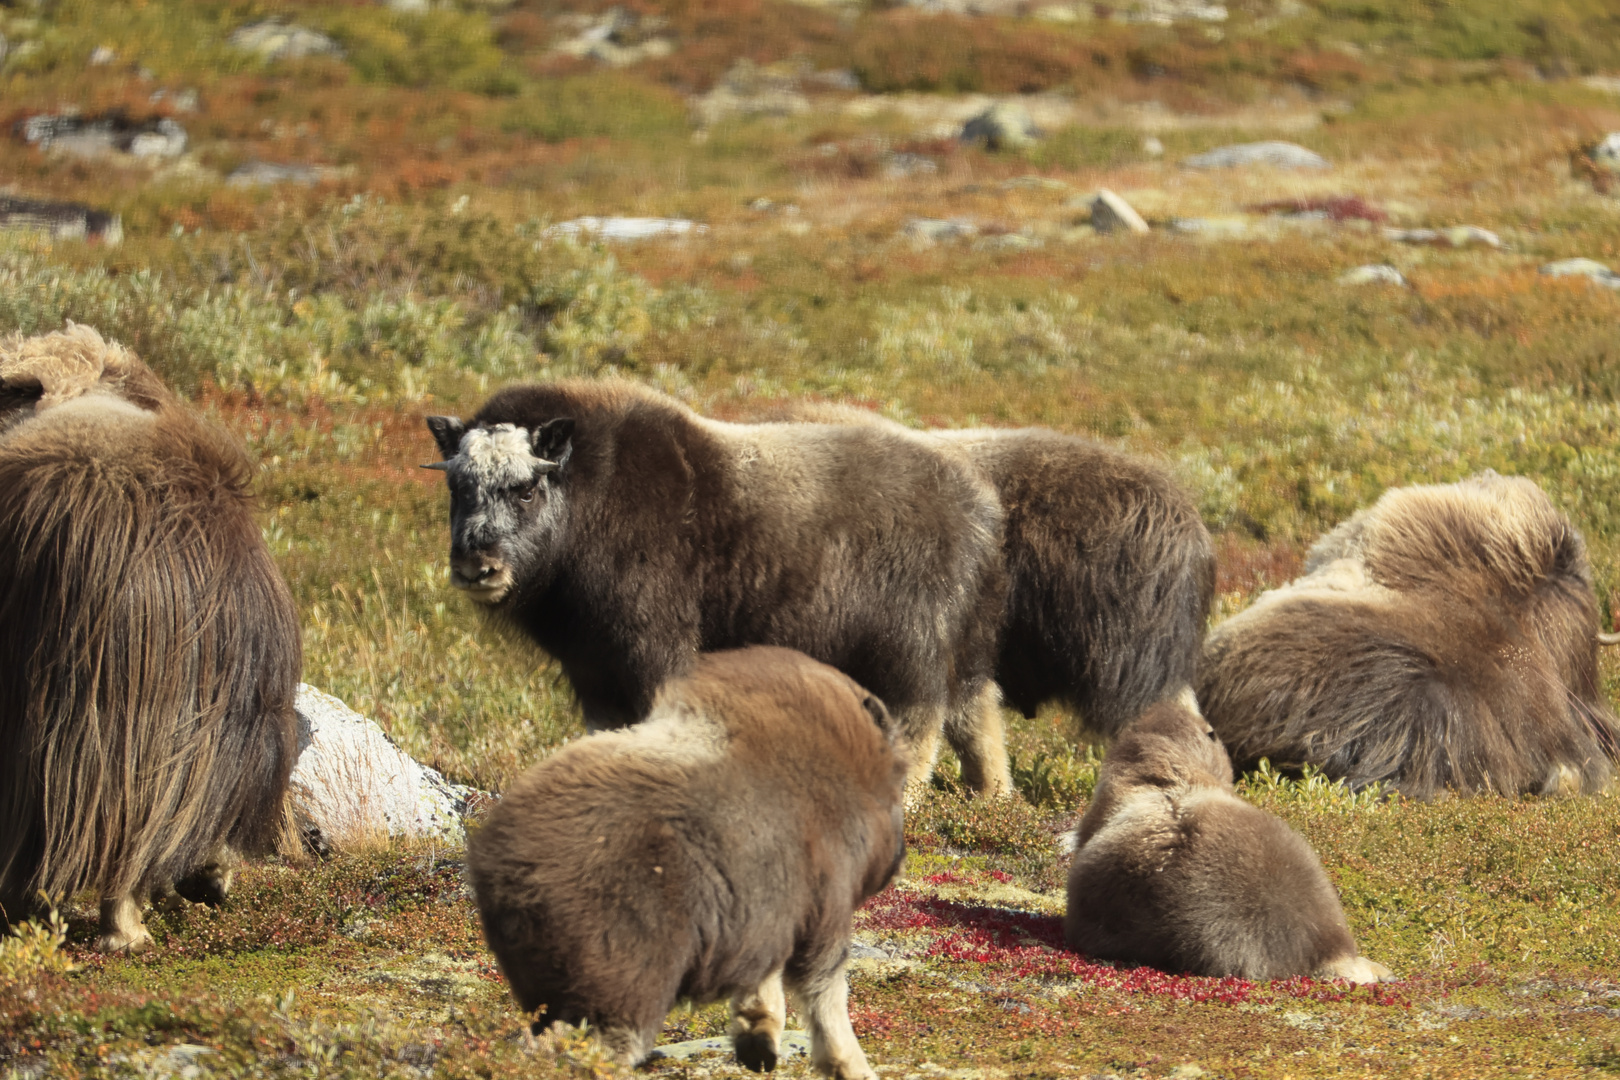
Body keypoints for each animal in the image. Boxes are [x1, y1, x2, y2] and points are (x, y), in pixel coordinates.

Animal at [427, 380, 1010, 793]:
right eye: (458, 486)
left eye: (525, 489)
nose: (476, 567)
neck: (589, 500)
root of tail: (978, 503)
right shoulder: (592, 668)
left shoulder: (651, 648)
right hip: (960, 653)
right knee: (976, 718)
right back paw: (992, 799)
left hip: (908, 653)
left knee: (922, 727)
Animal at [466, 647, 913, 1075]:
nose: (897, 860)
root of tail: (504, 874)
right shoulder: (824, 908)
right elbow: (826, 992)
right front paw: (851, 1067)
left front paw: (759, 1039)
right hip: (620, 983)